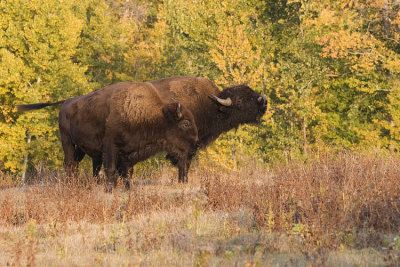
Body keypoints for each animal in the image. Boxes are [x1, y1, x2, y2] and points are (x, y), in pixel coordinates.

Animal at [18, 81, 199, 188]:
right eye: (185, 123)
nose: (195, 143)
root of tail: (66, 102)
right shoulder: (110, 147)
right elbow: (111, 169)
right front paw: (110, 189)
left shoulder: (128, 153)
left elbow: (128, 172)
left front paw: (127, 188)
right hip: (67, 141)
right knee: (69, 163)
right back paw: (71, 185)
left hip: (80, 148)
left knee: (75, 163)